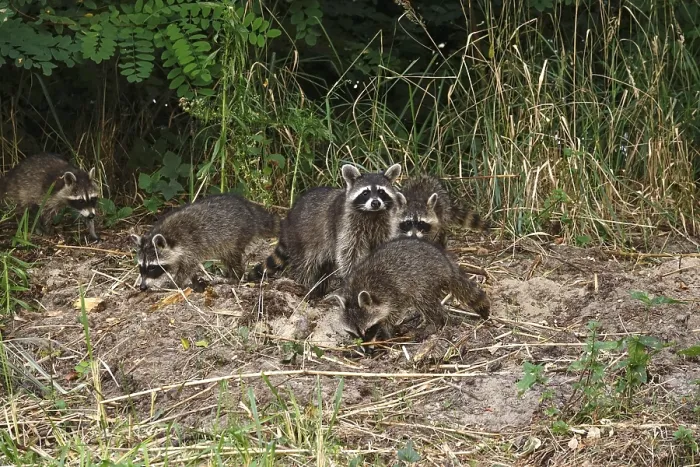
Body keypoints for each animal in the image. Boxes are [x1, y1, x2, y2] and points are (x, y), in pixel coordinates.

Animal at [130, 193, 279, 292]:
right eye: (141, 266)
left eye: (152, 267)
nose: (142, 287)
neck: (169, 236)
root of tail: (249, 209)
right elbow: (190, 269)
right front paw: (194, 281)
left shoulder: (190, 245)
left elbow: (187, 267)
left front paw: (174, 284)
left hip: (236, 235)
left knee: (231, 256)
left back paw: (235, 277)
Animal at [252, 163, 405, 297]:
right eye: (365, 193)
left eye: (381, 191)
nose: (375, 203)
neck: (372, 214)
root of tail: (288, 217)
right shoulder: (345, 225)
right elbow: (349, 253)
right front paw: (351, 276)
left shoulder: (383, 226)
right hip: (301, 238)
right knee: (304, 265)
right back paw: (304, 287)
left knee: (325, 267)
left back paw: (321, 287)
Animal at [333, 237, 490, 343]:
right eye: (353, 333)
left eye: (369, 329)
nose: (366, 349)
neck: (356, 290)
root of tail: (447, 264)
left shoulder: (393, 292)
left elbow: (393, 313)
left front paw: (386, 331)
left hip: (426, 281)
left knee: (426, 303)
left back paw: (436, 323)